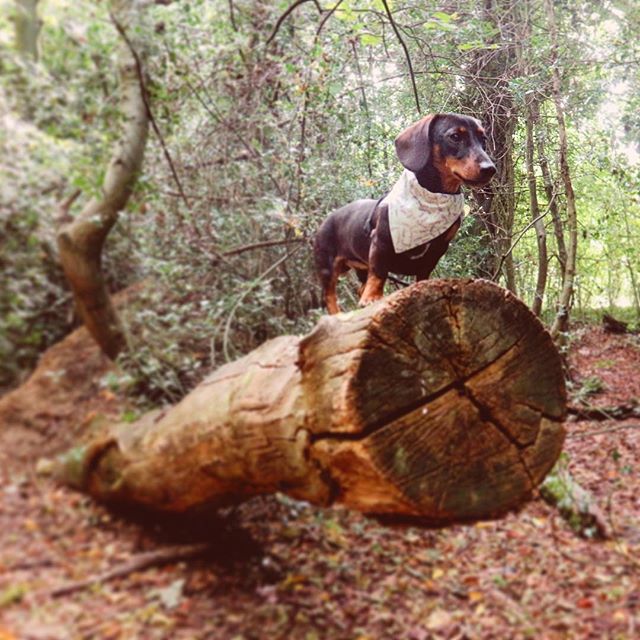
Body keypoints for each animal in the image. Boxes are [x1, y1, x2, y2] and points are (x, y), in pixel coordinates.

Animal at [314, 115, 496, 318]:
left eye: (483, 139)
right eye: (455, 136)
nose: (490, 169)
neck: (432, 198)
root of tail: (325, 221)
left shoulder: (439, 248)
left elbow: (424, 273)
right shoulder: (380, 242)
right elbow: (379, 272)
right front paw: (373, 297)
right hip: (327, 268)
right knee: (329, 295)